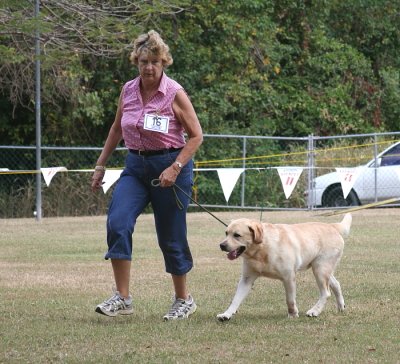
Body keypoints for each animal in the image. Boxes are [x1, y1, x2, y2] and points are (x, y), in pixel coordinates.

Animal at [217, 213, 352, 322]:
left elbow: (290, 300)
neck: (262, 249)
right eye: (226, 233)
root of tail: (333, 226)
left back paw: (314, 311)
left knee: (326, 292)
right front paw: (226, 314)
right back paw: (341, 306)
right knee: (336, 285)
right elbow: (235, 299)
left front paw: (293, 314)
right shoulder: (246, 279)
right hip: (322, 269)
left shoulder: (288, 277)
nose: (221, 245)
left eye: (237, 235)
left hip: (320, 269)